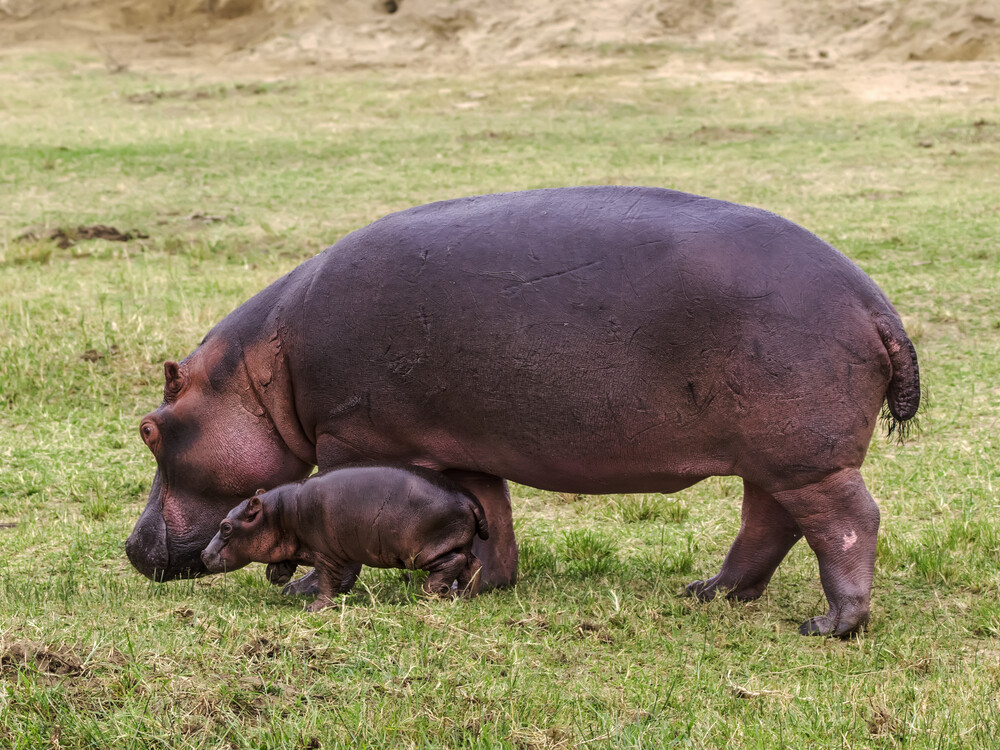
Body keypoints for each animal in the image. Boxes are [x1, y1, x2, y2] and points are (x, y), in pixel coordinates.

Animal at [200, 465, 490, 609]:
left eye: (226, 527)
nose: (203, 554)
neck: (277, 512)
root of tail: (469, 499)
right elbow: (285, 560)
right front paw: (277, 575)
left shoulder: (326, 554)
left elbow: (327, 581)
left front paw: (315, 607)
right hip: (458, 542)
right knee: (473, 564)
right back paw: (465, 597)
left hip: (424, 551)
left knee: (454, 563)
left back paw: (430, 592)